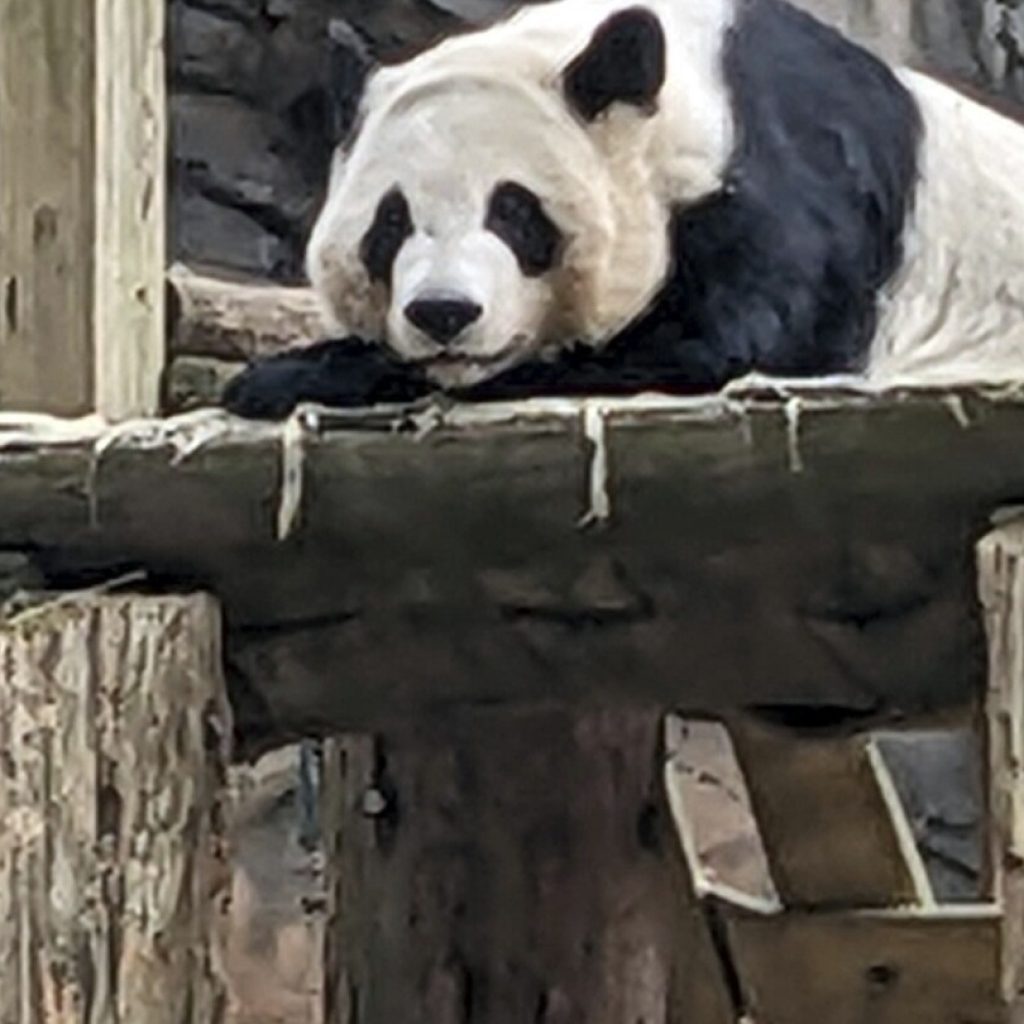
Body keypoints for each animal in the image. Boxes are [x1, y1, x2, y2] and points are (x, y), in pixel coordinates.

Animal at [222, 0, 1024, 419]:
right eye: (390, 223)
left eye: (514, 213)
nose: (443, 313)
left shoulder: (792, 187)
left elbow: (714, 345)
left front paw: (300, 374)